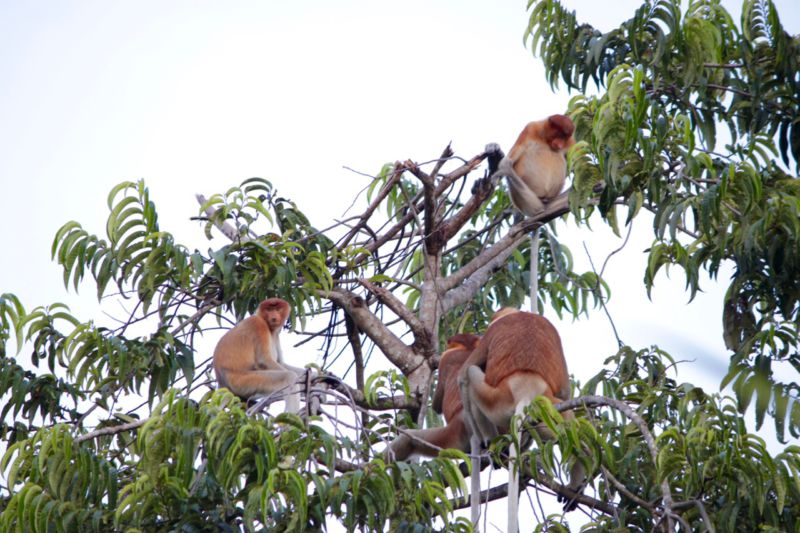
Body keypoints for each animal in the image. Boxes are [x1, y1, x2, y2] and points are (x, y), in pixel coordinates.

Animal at [458, 308, 585, 526]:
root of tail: (526, 390)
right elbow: (565, 392)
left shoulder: (490, 335)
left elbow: (464, 373)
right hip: (548, 409)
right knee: (571, 428)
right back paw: (575, 489)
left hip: (496, 401)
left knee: (471, 373)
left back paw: (490, 443)